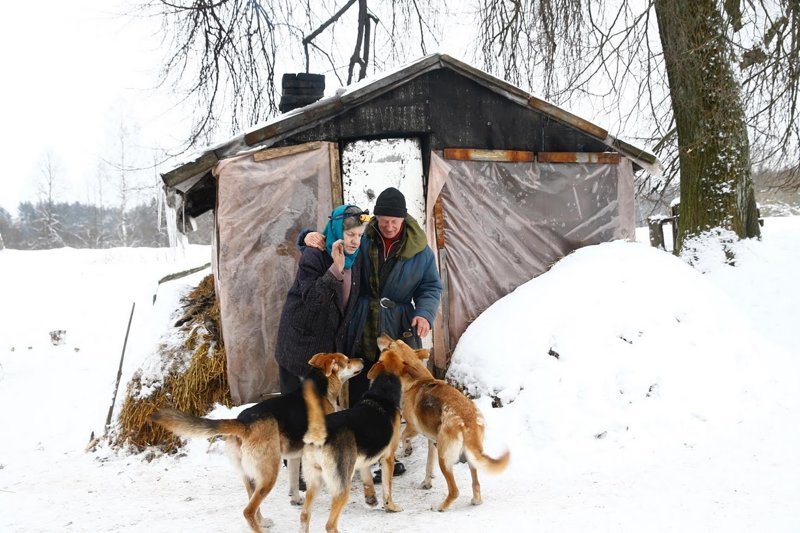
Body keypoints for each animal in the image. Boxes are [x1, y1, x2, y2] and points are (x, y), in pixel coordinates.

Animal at [150, 354, 362, 532]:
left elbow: (293, 481)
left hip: (251, 476)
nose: (361, 359)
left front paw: (295, 499)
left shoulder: (295, 455)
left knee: (253, 505)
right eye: (346, 360)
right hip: (269, 473)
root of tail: (244, 422)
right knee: (248, 511)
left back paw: (263, 522)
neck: (320, 386)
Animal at [372, 332, 510, 512]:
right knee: (476, 484)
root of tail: (468, 420)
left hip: (444, 458)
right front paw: (427, 482)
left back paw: (441, 506)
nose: (381, 334)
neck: (418, 380)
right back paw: (475, 500)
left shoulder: (413, 427)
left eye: (390, 345)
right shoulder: (432, 440)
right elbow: (428, 464)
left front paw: (406, 450)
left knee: (454, 490)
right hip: (468, 455)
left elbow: (404, 437)